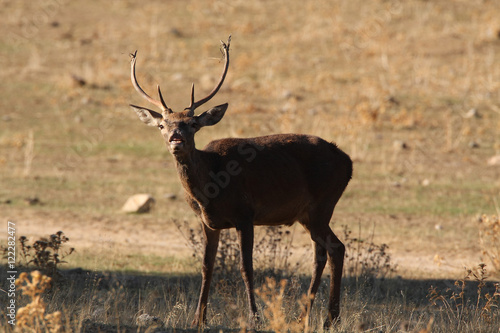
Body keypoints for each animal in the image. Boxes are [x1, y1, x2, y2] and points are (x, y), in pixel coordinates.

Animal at [129, 35, 352, 326]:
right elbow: (206, 267)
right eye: (161, 125)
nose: (176, 139)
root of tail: (348, 162)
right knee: (325, 252)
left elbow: (246, 267)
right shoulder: (208, 222)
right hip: (307, 213)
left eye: (193, 124)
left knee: (335, 248)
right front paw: (198, 319)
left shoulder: (246, 214)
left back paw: (327, 317)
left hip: (323, 204)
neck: (210, 190)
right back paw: (312, 316)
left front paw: (254, 317)